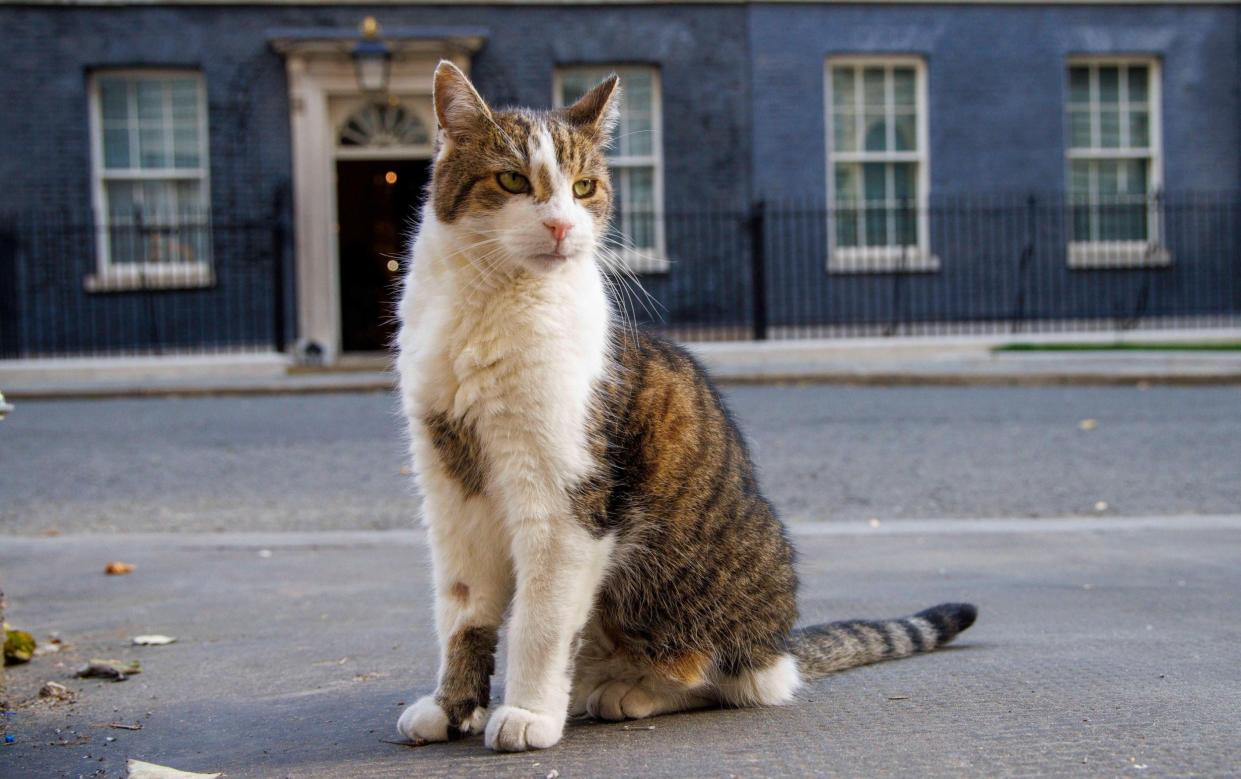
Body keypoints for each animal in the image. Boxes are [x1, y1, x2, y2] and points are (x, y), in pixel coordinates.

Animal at [392, 62, 972, 754]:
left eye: (584, 188)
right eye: (512, 180)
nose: (561, 226)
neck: (488, 308)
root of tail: (783, 643)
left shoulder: (563, 502)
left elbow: (540, 621)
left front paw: (528, 712)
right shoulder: (450, 490)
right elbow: (462, 612)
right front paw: (452, 707)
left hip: (686, 590)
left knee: (730, 678)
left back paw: (628, 691)